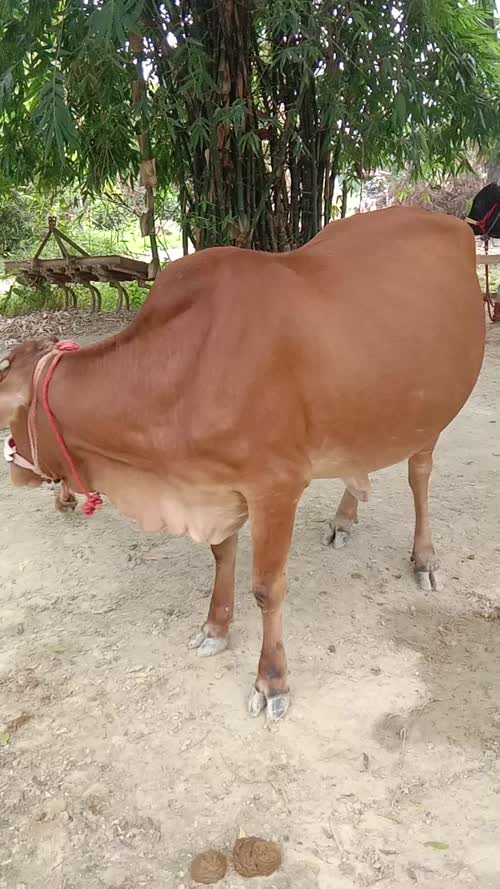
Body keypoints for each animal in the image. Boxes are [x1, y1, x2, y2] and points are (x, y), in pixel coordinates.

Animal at [0, 207, 485, 722]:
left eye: (12, 412)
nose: (15, 466)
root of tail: (451, 222)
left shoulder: (276, 487)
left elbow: (267, 588)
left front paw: (272, 680)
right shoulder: (215, 484)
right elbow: (221, 556)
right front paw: (215, 629)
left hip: (429, 414)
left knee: (419, 476)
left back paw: (424, 558)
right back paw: (344, 519)